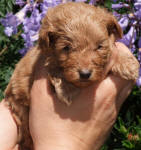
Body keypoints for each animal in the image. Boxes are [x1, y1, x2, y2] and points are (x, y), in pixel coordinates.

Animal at [3, 1, 139, 149]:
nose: (85, 74)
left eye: (99, 46)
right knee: (24, 132)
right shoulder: (45, 60)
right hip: (19, 105)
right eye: (66, 48)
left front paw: (127, 64)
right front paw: (67, 90)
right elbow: (55, 69)